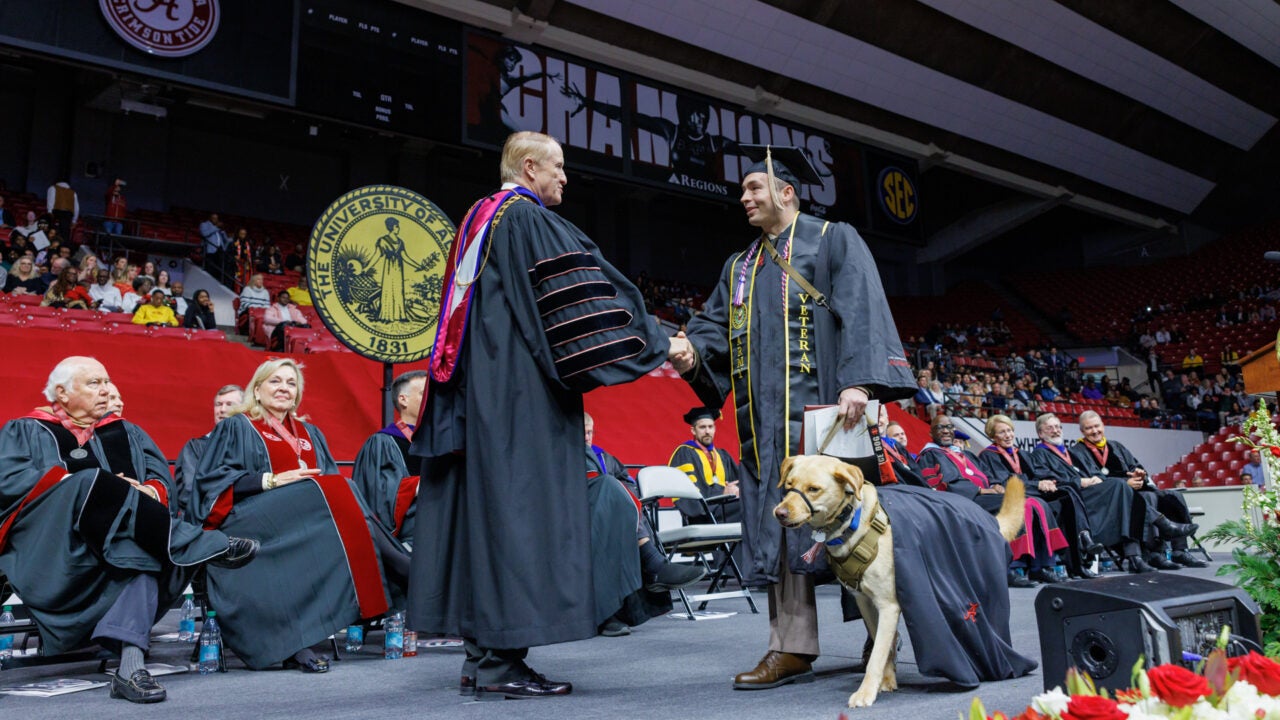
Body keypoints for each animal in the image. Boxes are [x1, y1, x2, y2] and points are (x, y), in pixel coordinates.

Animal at [768, 456, 1018, 702]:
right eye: (789, 485)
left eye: (813, 489)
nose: (779, 513)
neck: (853, 520)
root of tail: (991, 519)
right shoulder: (865, 602)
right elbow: (883, 646)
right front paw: (886, 681)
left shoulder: (888, 605)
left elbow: (877, 655)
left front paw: (866, 692)